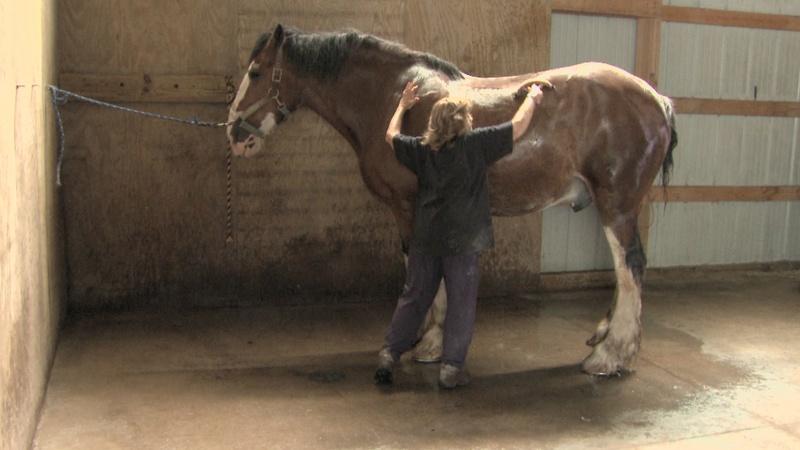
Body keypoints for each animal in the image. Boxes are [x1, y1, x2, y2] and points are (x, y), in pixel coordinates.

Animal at [228, 24, 680, 376]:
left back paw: (610, 356)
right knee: (624, 271)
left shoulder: (409, 207)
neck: (390, 97)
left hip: (616, 204)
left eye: (256, 71)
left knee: (631, 266)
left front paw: (427, 343)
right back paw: (605, 339)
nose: (234, 134)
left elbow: (422, 268)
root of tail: (657, 99)